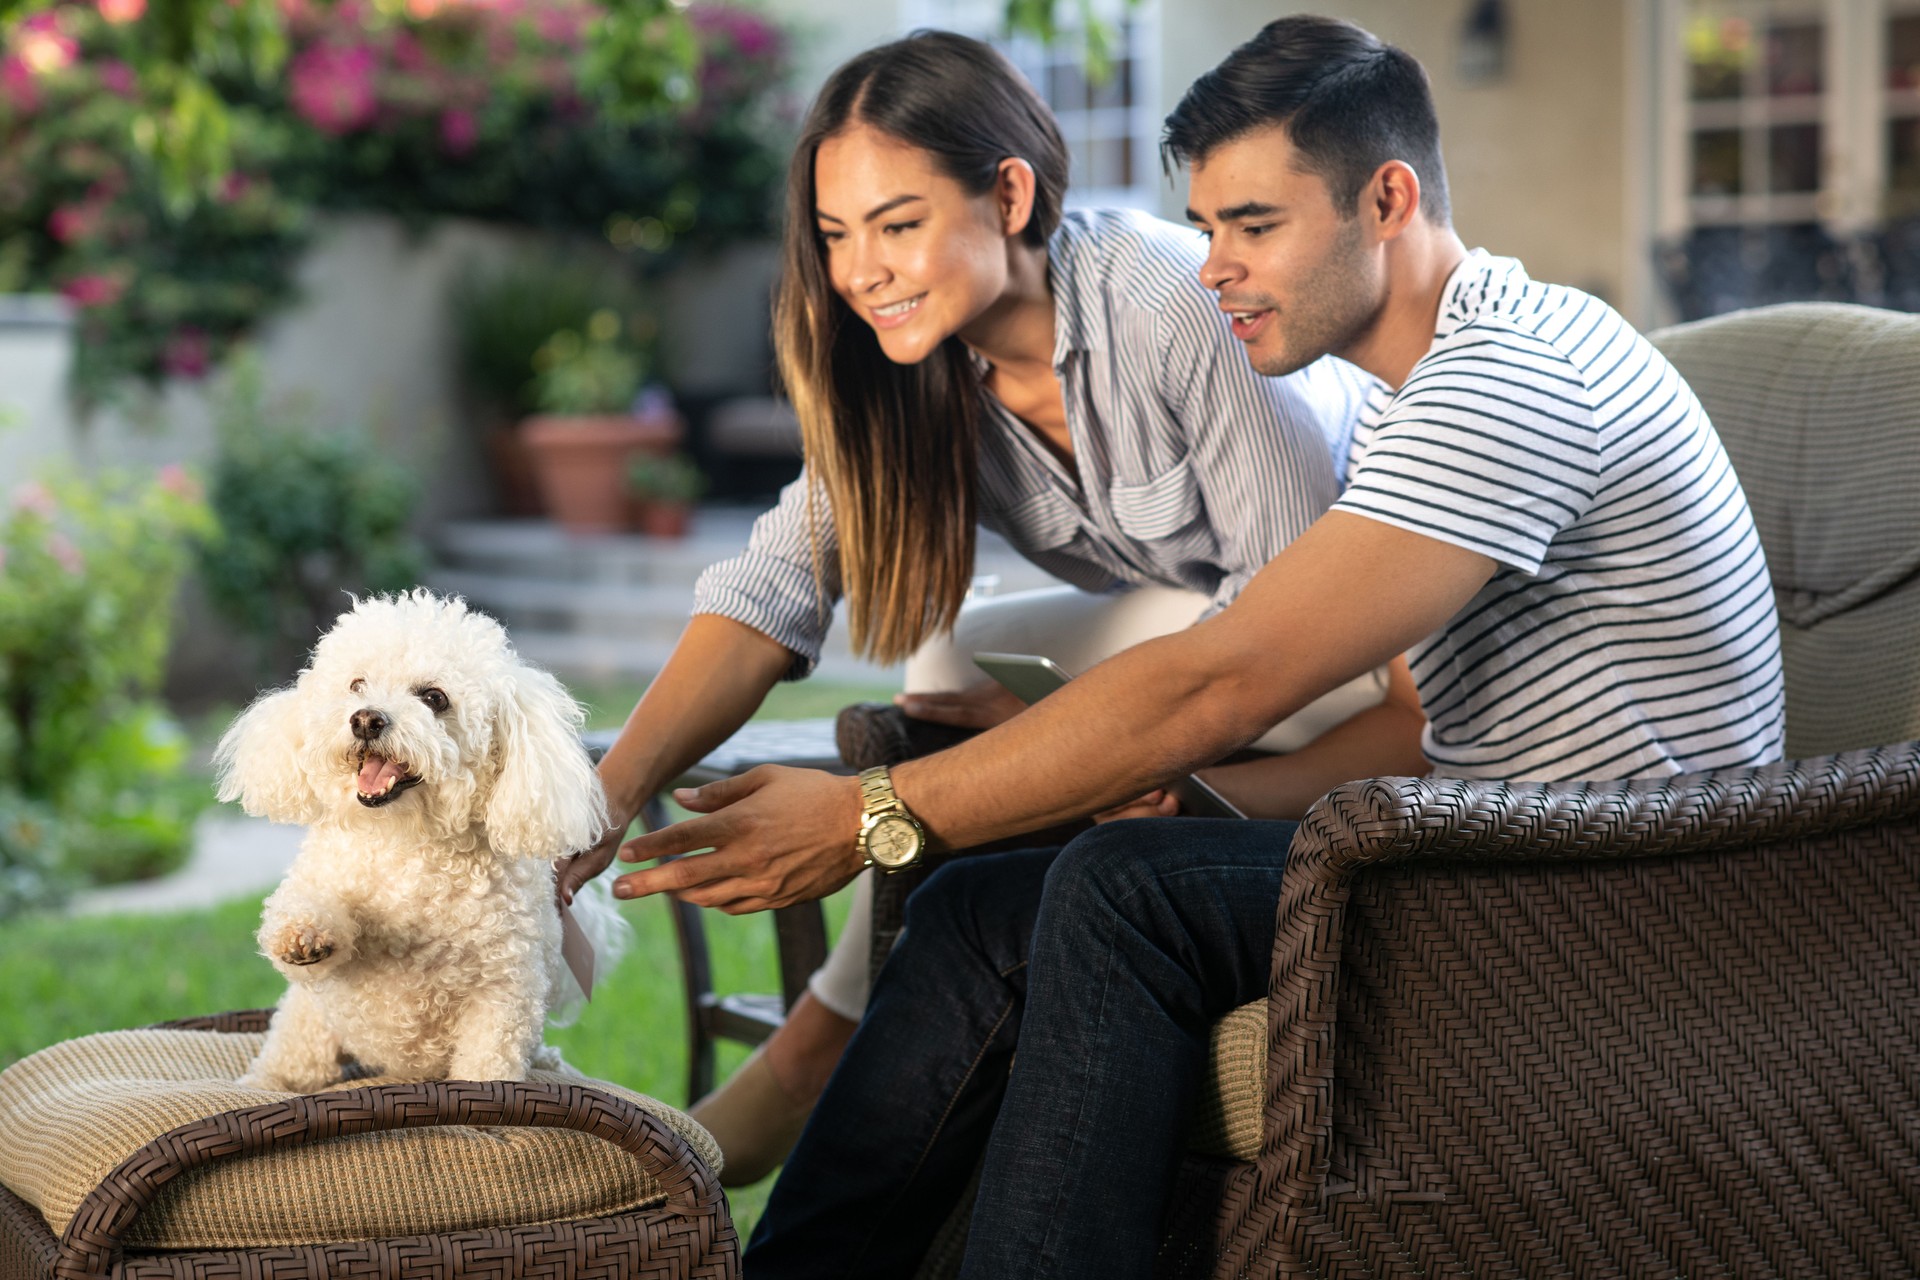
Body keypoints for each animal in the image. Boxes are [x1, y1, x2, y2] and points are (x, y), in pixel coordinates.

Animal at [214, 591, 625, 1090]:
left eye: (434, 697)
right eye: (356, 684)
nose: (366, 719)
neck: (409, 843)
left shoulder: (503, 995)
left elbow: (487, 1067)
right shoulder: (327, 902)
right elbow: (307, 903)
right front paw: (304, 932)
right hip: (309, 1022)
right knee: (289, 1064)